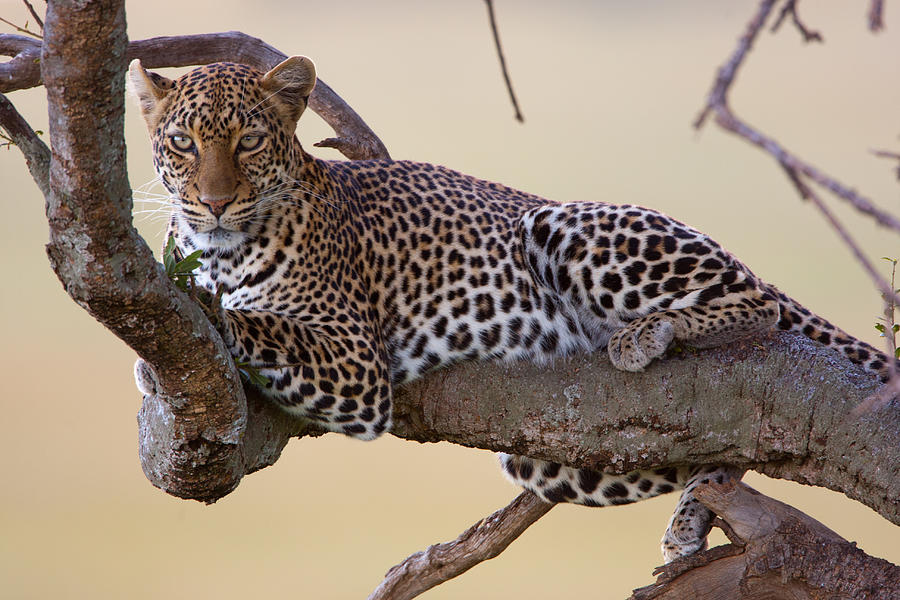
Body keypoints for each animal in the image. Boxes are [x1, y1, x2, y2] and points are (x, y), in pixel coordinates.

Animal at [128, 55, 900, 564]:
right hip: (555, 459)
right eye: (182, 143)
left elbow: (259, 322)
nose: (213, 202)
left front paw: (206, 308)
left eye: (249, 141)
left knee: (758, 304)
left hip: (563, 225)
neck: (221, 249)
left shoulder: (356, 363)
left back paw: (651, 334)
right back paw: (690, 519)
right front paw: (152, 363)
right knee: (722, 448)